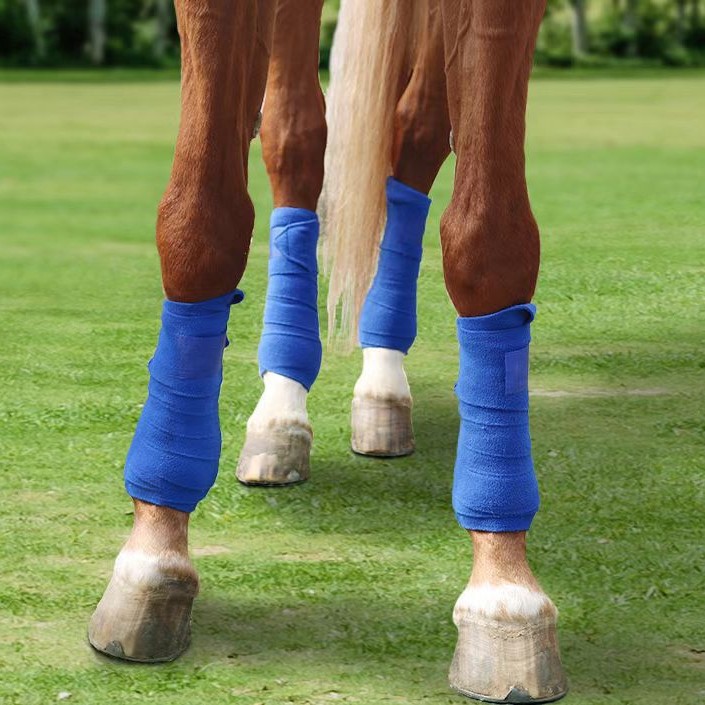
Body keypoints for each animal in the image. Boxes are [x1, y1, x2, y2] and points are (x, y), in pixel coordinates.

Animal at [88, 1, 567, 702]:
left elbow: (490, 239)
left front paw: (505, 593)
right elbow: (201, 220)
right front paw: (153, 555)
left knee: (416, 129)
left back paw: (382, 389)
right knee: (295, 135)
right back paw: (280, 414)